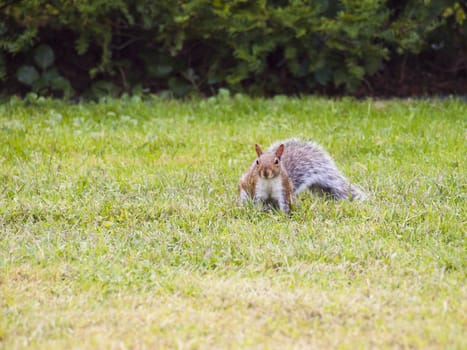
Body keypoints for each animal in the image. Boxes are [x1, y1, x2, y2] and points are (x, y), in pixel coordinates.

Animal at [239, 138, 368, 212]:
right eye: (257, 162)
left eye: (276, 161)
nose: (265, 173)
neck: (269, 181)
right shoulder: (257, 189)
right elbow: (257, 202)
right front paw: (258, 213)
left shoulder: (283, 190)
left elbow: (284, 204)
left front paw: (283, 216)